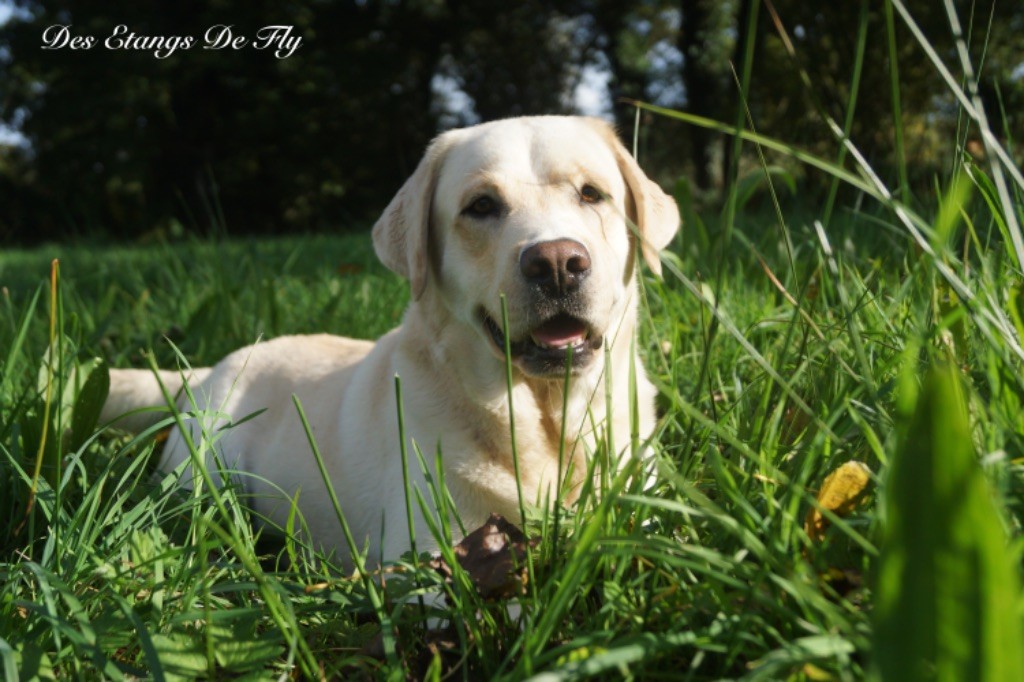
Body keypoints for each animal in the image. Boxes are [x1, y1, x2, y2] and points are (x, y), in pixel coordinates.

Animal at [101, 115, 679, 561]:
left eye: (592, 194)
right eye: (482, 205)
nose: (557, 262)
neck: (545, 421)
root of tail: (214, 365)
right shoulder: (431, 551)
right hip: (204, 470)